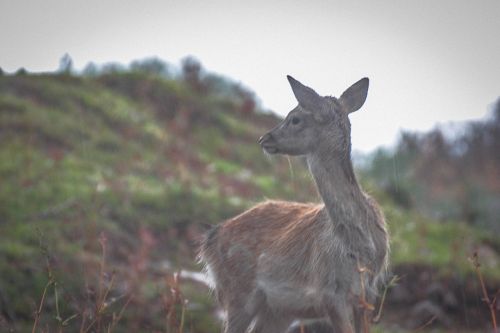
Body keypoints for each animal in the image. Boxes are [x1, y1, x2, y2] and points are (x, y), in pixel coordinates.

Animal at [199, 76, 390, 332]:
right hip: (237, 293)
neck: (360, 249)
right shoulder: (329, 293)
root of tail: (210, 238)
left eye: (295, 118)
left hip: (277, 311)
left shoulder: (367, 294)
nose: (264, 138)